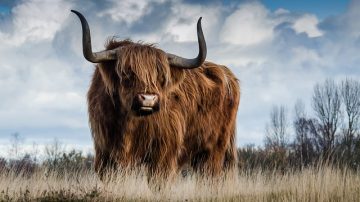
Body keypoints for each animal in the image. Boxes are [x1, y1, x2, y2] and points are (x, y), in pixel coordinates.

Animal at [71, 10, 239, 179]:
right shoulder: (104, 153)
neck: (128, 124)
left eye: (162, 77)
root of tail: (227, 74)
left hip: (214, 149)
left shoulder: (163, 154)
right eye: (126, 73)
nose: (148, 99)